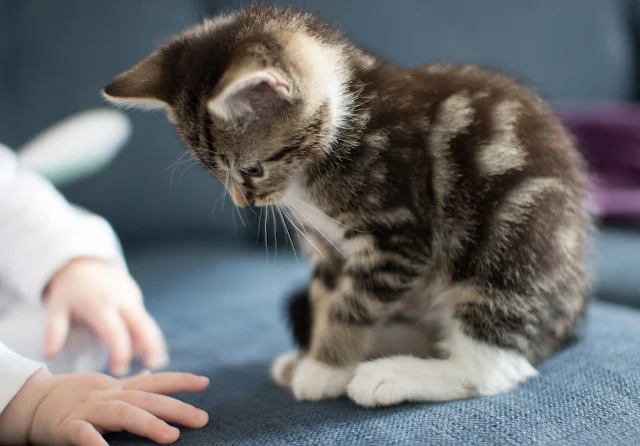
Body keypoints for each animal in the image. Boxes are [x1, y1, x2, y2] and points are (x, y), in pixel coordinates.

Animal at [104, 6, 592, 408]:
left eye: (253, 169)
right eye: (214, 173)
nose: (246, 202)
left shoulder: (398, 233)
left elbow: (353, 305)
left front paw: (324, 369)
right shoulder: (326, 246)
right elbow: (326, 297)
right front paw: (316, 357)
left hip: (515, 238)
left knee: (492, 366)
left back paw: (393, 374)